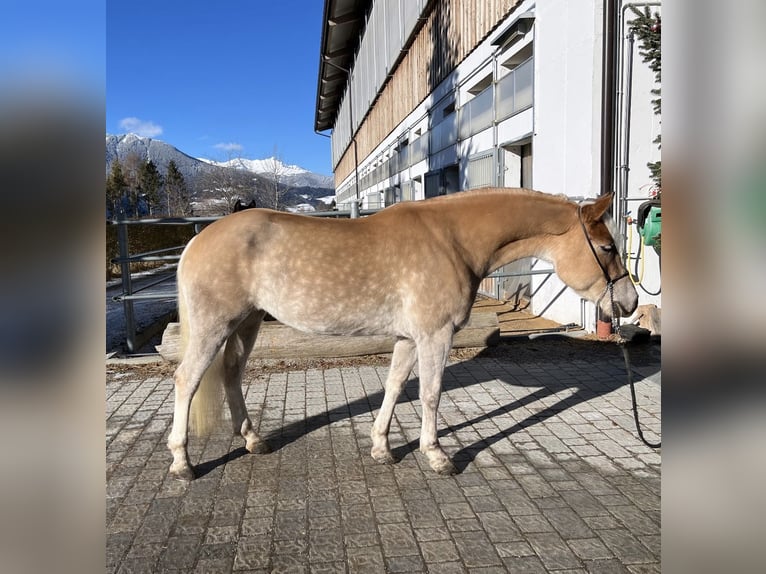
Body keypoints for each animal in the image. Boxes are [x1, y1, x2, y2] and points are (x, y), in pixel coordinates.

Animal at [170, 189, 640, 482]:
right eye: (607, 248)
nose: (630, 302)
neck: (452, 241)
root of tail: (198, 241)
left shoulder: (408, 338)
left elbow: (395, 386)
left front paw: (382, 448)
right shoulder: (435, 335)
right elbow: (431, 394)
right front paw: (437, 456)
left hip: (246, 323)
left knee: (231, 374)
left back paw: (253, 440)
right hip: (215, 326)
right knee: (187, 381)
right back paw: (182, 463)